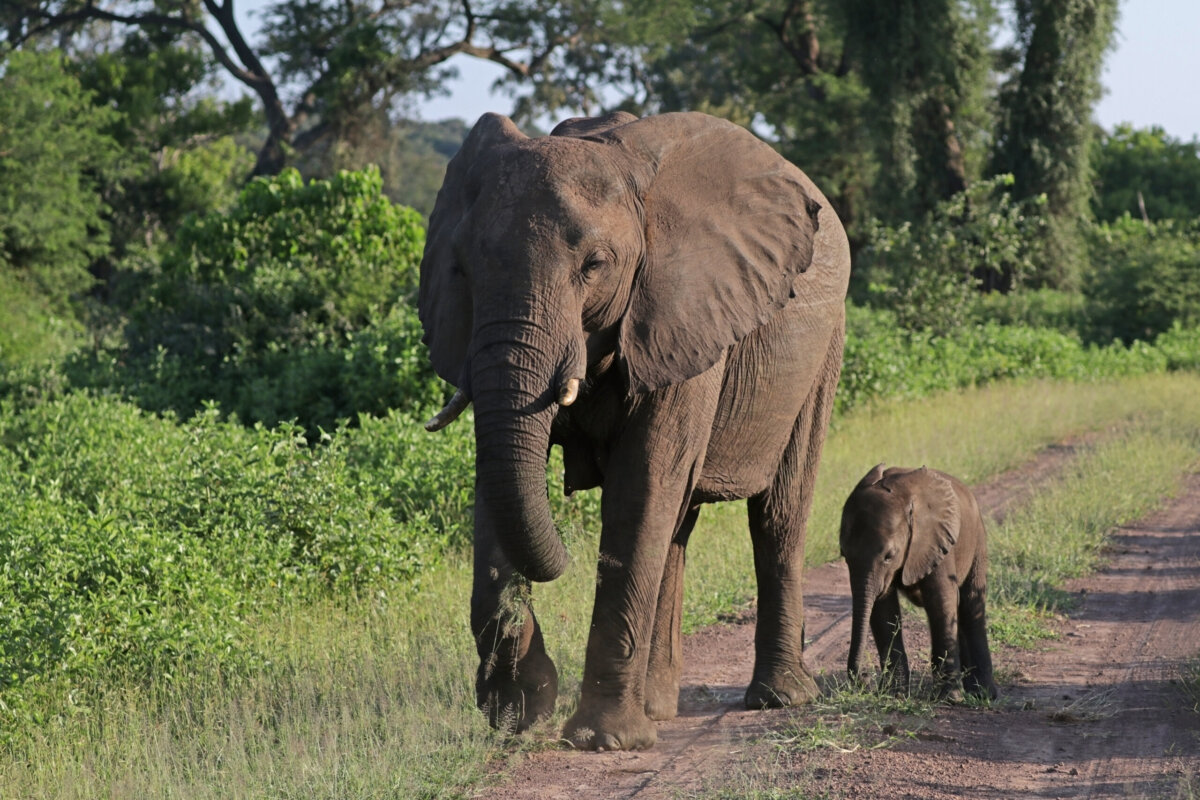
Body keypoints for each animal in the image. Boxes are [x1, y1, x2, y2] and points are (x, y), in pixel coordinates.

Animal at [417, 110, 849, 753]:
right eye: (463, 270)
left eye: (594, 266)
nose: (566, 557)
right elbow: (496, 480)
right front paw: (521, 709)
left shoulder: (682, 313)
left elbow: (640, 487)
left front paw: (602, 741)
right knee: (678, 525)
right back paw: (660, 708)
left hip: (824, 346)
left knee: (776, 514)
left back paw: (778, 699)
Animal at [840, 462, 998, 700]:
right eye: (844, 555)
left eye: (889, 556)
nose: (865, 679)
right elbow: (883, 610)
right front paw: (894, 695)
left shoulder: (936, 541)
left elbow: (940, 601)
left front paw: (949, 698)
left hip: (977, 540)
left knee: (971, 607)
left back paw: (984, 694)